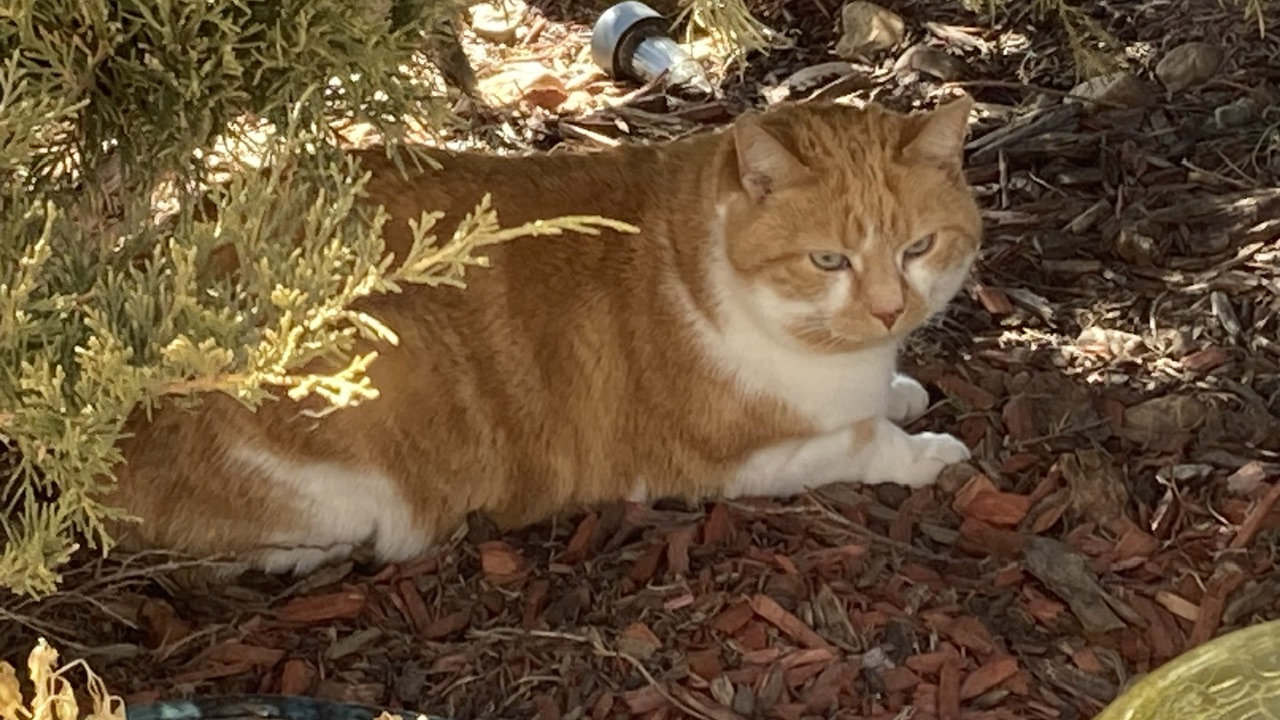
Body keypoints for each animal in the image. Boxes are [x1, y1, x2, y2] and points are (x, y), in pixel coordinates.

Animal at [107, 92, 977, 573]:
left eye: (918, 248)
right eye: (828, 259)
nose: (889, 310)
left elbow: (881, 402)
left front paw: (903, 390)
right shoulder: (731, 463)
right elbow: (863, 442)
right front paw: (925, 452)